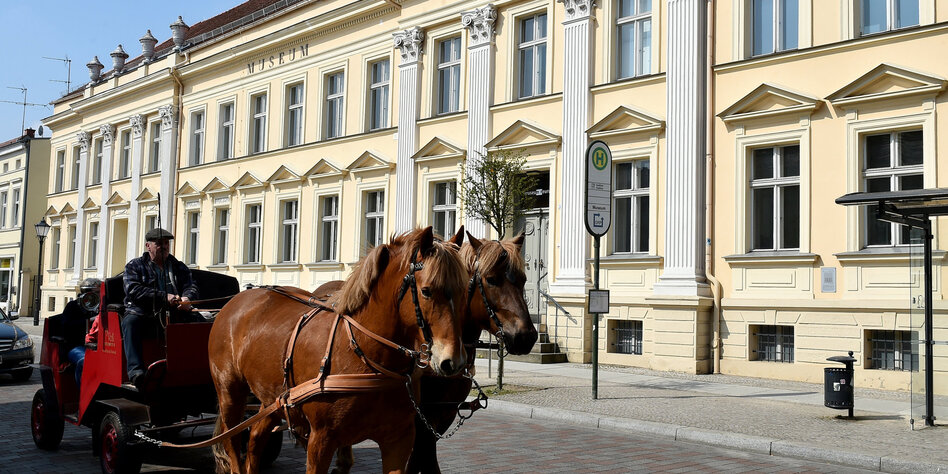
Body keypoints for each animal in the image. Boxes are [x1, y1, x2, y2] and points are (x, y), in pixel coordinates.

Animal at [208, 227, 469, 474]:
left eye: (464, 291)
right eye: (426, 291)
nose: (452, 361)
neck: (366, 358)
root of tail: (235, 301)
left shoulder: (399, 440)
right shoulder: (321, 441)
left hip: (273, 399)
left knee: (255, 437)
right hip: (230, 393)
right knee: (232, 441)